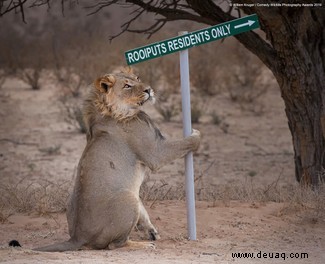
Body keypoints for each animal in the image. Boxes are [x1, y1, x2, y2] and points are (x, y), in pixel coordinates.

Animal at [33, 66, 200, 252]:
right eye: (127, 86)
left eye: (137, 78)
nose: (149, 89)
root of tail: (77, 237)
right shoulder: (155, 152)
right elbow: (187, 142)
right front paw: (196, 133)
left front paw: (150, 230)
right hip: (128, 199)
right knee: (115, 244)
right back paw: (143, 245)